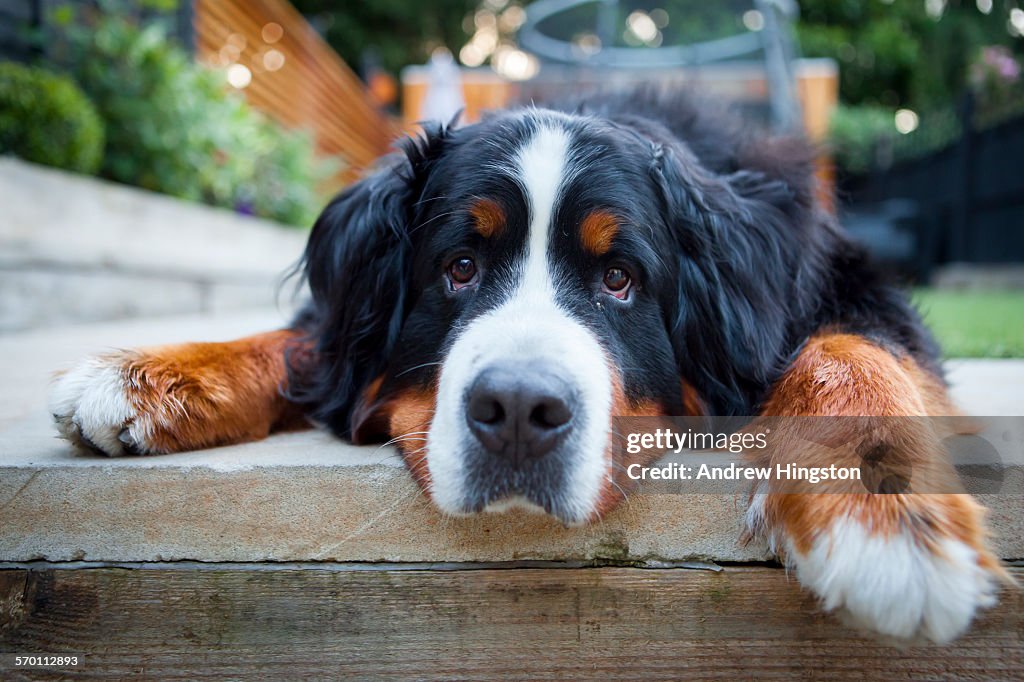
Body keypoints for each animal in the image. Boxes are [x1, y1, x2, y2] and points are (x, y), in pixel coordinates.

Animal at [49, 90, 1007, 643]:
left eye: (620, 280)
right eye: (459, 267)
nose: (516, 409)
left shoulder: (849, 287)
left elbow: (850, 349)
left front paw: (885, 516)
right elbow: (304, 343)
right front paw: (148, 375)